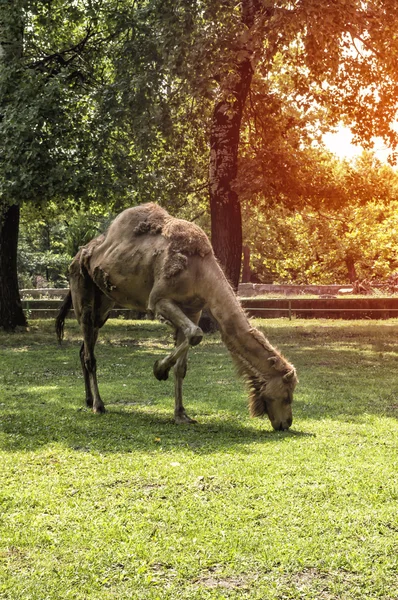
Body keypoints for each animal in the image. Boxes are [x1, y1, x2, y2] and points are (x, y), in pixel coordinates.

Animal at [56, 204, 298, 428]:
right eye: (288, 394)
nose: (286, 423)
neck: (200, 270)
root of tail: (79, 255)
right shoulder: (159, 300)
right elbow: (196, 334)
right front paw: (159, 369)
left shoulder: (193, 309)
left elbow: (183, 363)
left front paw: (181, 414)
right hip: (82, 287)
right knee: (90, 354)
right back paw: (98, 405)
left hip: (104, 303)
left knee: (85, 348)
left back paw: (88, 400)